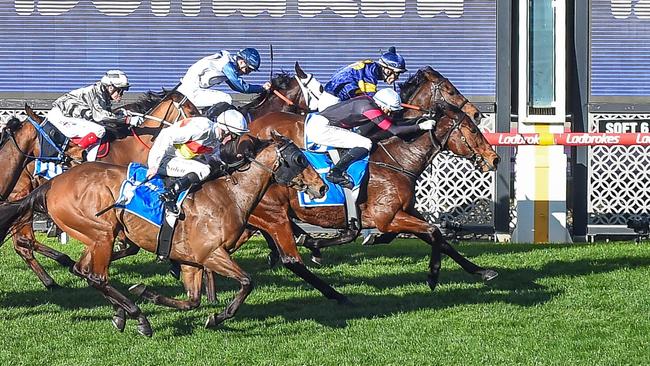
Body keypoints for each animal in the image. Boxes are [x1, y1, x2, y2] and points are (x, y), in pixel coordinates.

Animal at [0, 133, 326, 336]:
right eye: (300, 159)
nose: (321, 187)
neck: (229, 195)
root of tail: (51, 183)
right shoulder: (212, 254)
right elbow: (247, 282)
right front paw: (217, 317)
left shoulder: (192, 261)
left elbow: (193, 300)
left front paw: (151, 293)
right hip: (102, 233)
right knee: (97, 276)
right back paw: (139, 318)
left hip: (95, 236)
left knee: (84, 271)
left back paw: (120, 313)